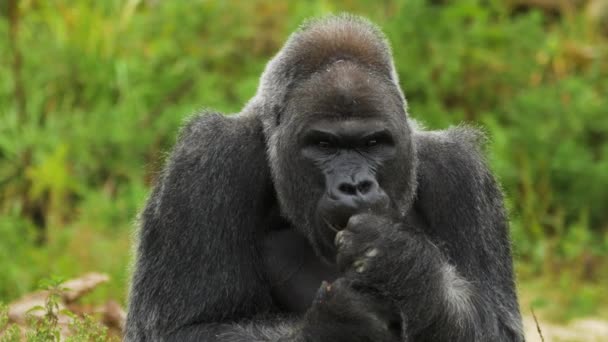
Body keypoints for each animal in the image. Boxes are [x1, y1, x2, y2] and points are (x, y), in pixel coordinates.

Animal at [123, 14, 524, 342]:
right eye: (323, 144)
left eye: (373, 143)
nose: (354, 185)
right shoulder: (205, 162)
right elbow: (181, 329)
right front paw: (340, 322)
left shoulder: (461, 175)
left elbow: (498, 329)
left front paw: (403, 265)